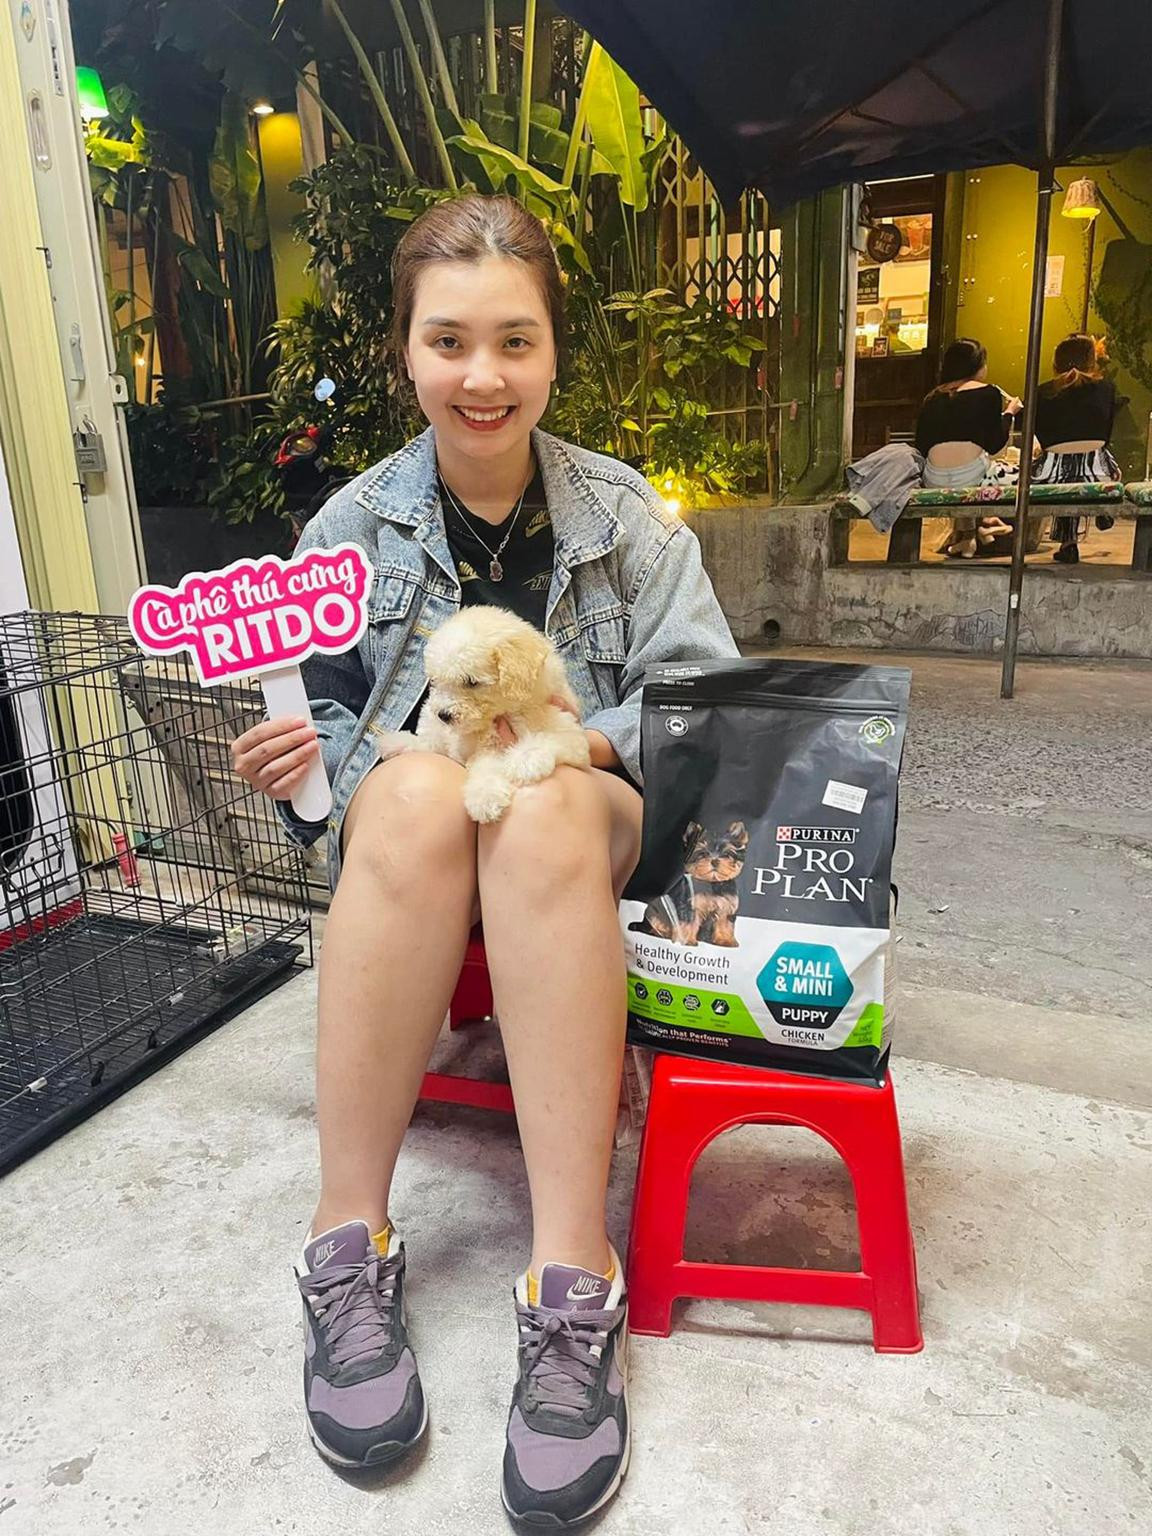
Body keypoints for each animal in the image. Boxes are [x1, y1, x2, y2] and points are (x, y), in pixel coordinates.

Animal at [389, 607, 590, 823]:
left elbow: (548, 738)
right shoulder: (485, 747)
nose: (443, 715)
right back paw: (397, 743)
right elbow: (485, 768)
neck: (509, 710)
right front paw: (484, 798)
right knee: (430, 743)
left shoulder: (572, 732)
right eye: (436, 680)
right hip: (430, 718)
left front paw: (524, 761)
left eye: (471, 682)